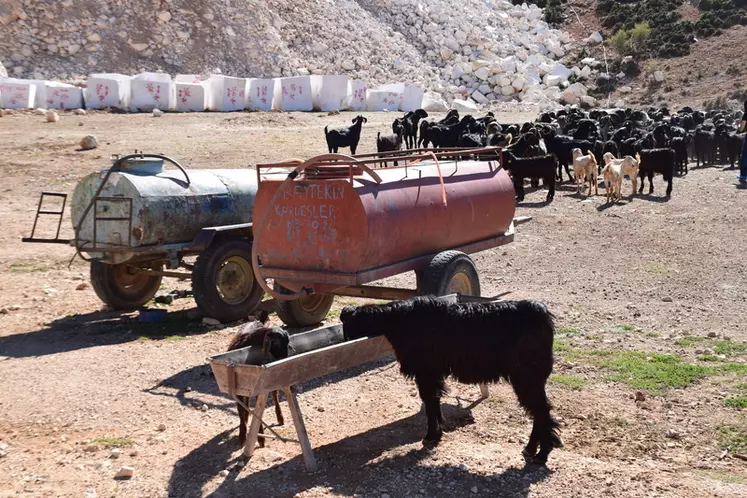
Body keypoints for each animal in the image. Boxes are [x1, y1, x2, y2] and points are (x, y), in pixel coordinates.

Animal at [342, 296, 564, 462]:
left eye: (347, 324)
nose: (345, 339)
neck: (402, 321)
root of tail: (541, 313)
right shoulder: (433, 373)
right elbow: (434, 401)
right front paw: (439, 430)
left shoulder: (426, 372)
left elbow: (430, 401)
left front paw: (431, 436)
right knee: (538, 411)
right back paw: (532, 449)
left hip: (528, 375)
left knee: (541, 411)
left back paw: (541, 453)